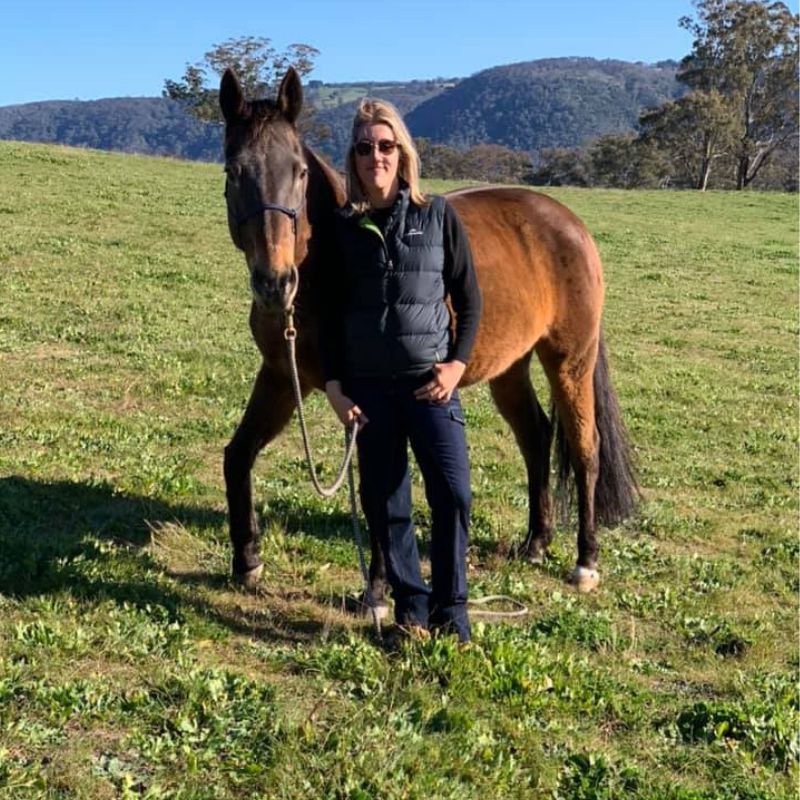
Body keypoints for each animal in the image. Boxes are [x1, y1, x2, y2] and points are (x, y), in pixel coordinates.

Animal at [218, 66, 638, 610]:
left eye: (299, 172)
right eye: (234, 172)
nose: (275, 283)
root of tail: (570, 224)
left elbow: (376, 492)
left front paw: (377, 589)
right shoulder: (280, 376)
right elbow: (238, 455)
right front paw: (247, 560)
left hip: (570, 360)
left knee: (586, 447)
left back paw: (585, 561)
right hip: (510, 367)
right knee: (536, 435)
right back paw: (536, 542)